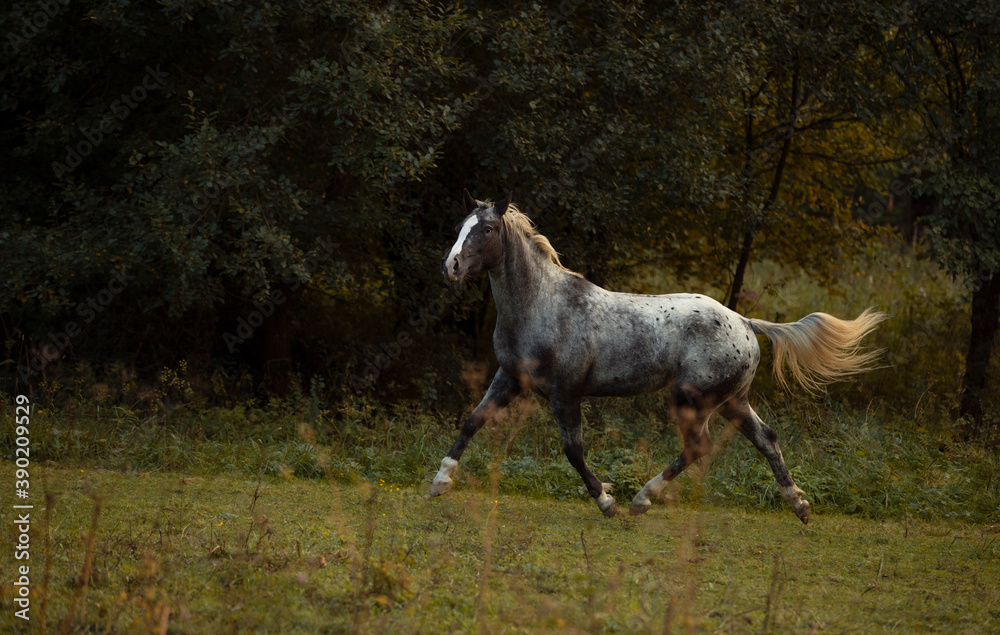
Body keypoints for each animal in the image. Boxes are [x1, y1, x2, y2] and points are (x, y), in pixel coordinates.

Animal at [430, 190, 885, 522]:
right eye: (458, 227)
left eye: (487, 228)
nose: (450, 266)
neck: (541, 306)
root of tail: (744, 321)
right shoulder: (509, 378)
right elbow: (472, 421)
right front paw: (439, 482)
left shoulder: (565, 393)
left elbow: (573, 450)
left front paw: (607, 502)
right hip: (732, 401)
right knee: (767, 439)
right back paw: (800, 506)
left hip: (691, 398)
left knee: (699, 447)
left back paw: (642, 500)